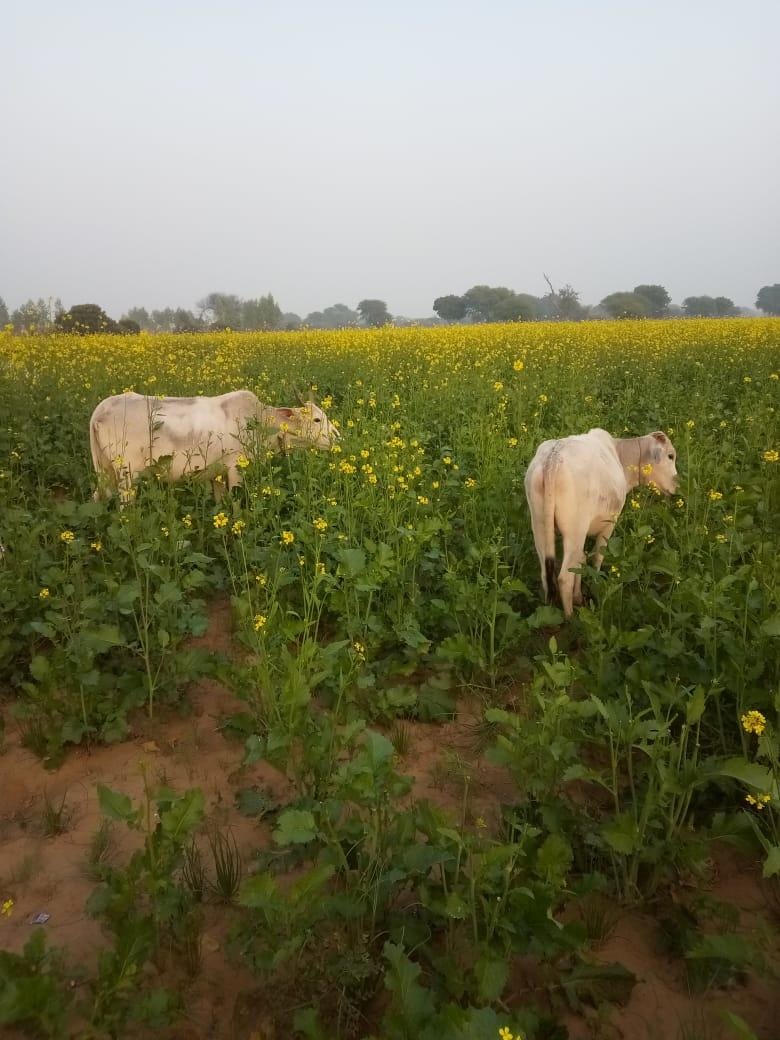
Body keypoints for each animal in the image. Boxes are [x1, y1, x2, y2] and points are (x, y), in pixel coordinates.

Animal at [89, 390, 339, 504]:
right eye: (317, 419)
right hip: (127, 474)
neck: (259, 420)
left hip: (105, 471)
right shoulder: (236, 468)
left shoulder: (216, 474)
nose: (337, 437)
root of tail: (100, 411)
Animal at [524, 428, 679, 617]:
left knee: (547, 573)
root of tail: (553, 459)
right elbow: (597, 556)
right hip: (575, 531)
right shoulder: (609, 523)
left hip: (539, 525)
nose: (677, 486)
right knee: (564, 578)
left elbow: (581, 559)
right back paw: (570, 617)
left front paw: (578, 596)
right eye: (670, 456)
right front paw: (594, 587)